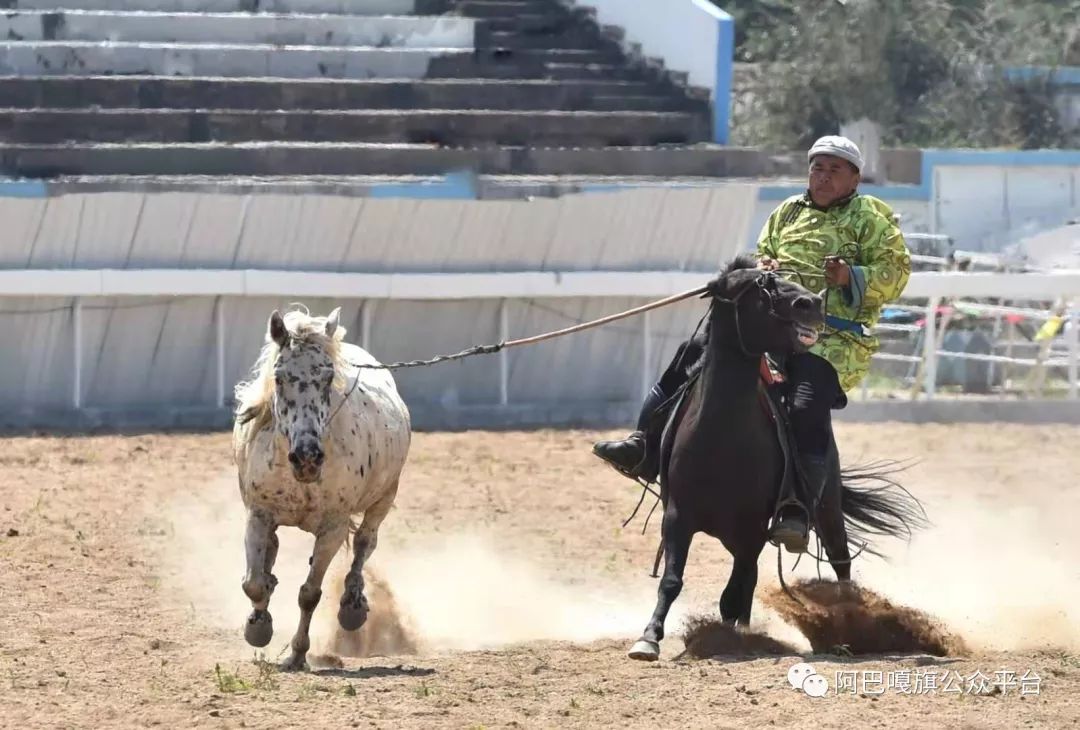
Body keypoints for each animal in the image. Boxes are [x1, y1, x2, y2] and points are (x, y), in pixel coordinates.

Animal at [630, 254, 924, 660]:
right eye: (756, 286)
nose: (811, 303)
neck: (720, 437)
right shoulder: (678, 518)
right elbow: (674, 580)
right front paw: (649, 637)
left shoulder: (753, 528)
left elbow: (735, 591)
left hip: (825, 509)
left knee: (840, 562)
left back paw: (848, 630)